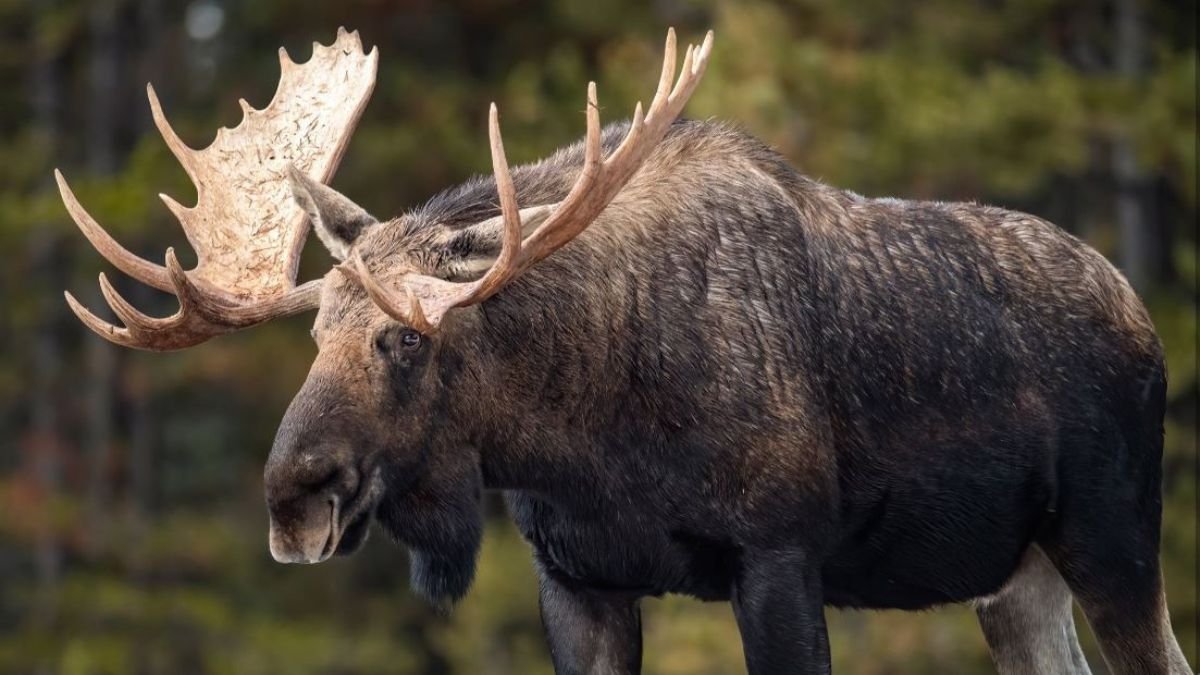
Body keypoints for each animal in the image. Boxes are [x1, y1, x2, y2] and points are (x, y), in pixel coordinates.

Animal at [58, 27, 1191, 675]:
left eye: (406, 339)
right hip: (1016, 579)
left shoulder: (779, 555)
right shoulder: (580, 579)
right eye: (315, 333)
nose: (294, 492)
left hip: (1114, 536)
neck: (585, 436)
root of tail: (1144, 319)